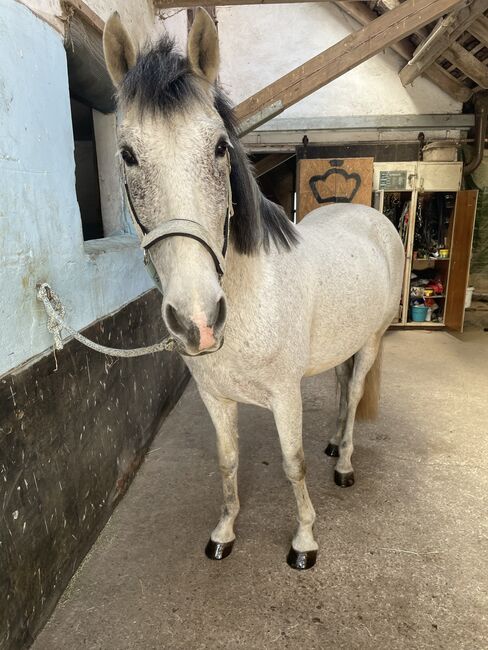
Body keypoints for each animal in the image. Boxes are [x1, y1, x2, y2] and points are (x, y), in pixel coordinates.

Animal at [104, 10, 404, 568]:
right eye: (128, 155)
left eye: (220, 147)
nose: (198, 321)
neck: (251, 297)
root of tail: (372, 218)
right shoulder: (215, 397)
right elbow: (227, 463)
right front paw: (224, 532)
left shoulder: (285, 396)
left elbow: (292, 463)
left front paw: (304, 541)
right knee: (340, 391)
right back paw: (335, 443)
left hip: (373, 340)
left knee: (354, 395)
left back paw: (345, 464)